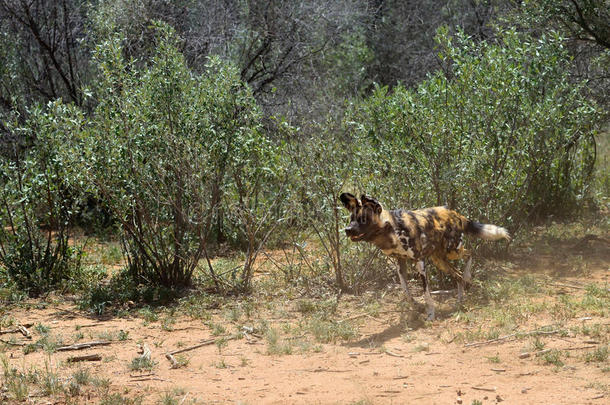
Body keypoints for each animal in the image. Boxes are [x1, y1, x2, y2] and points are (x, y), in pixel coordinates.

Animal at [338, 193, 508, 318]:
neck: (391, 230)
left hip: (452, 252)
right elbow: (405, 291)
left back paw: (467, 278)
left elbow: (426, 293)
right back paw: (460, 301)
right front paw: (416, 306)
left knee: (470, 255)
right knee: (458, 276)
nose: (347, 230)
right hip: (439, 260)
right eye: (351, 219)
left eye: (363, 220)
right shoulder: (400, 264)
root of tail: (455, 213)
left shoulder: (419, 262)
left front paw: (430, 314)